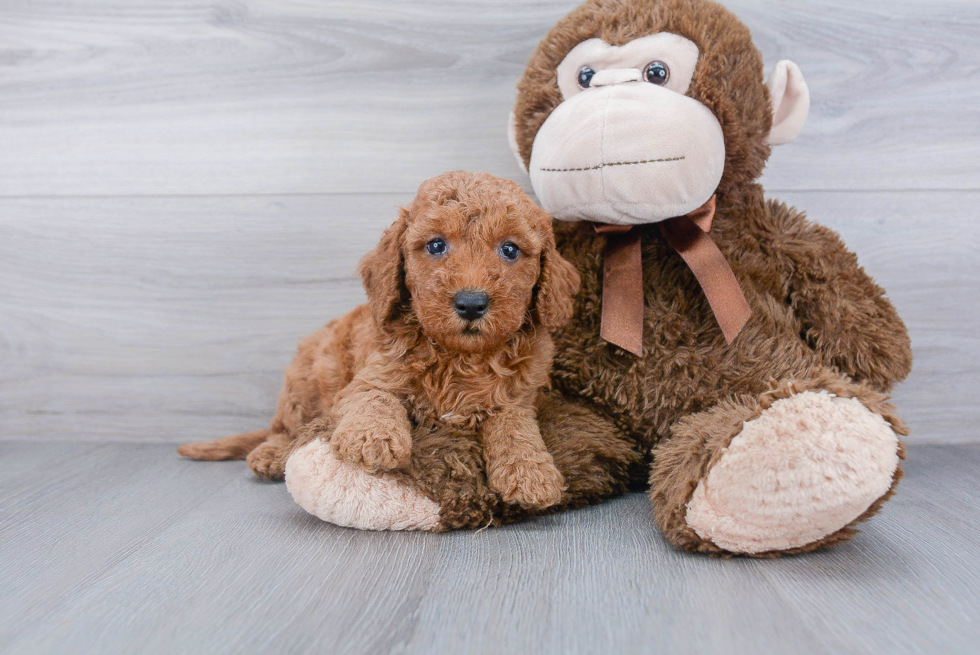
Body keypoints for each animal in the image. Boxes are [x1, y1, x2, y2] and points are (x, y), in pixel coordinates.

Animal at [179, 172, 580, 510]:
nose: (471, 303)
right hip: (305, 381)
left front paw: (531, 472)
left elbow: (515, 426)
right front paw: (373, 439)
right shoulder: (369, 375)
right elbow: (375, 397)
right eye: (436, 245)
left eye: (510, 250)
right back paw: (271, 454)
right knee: (286, 428)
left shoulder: (518, 397)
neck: (459, 355)